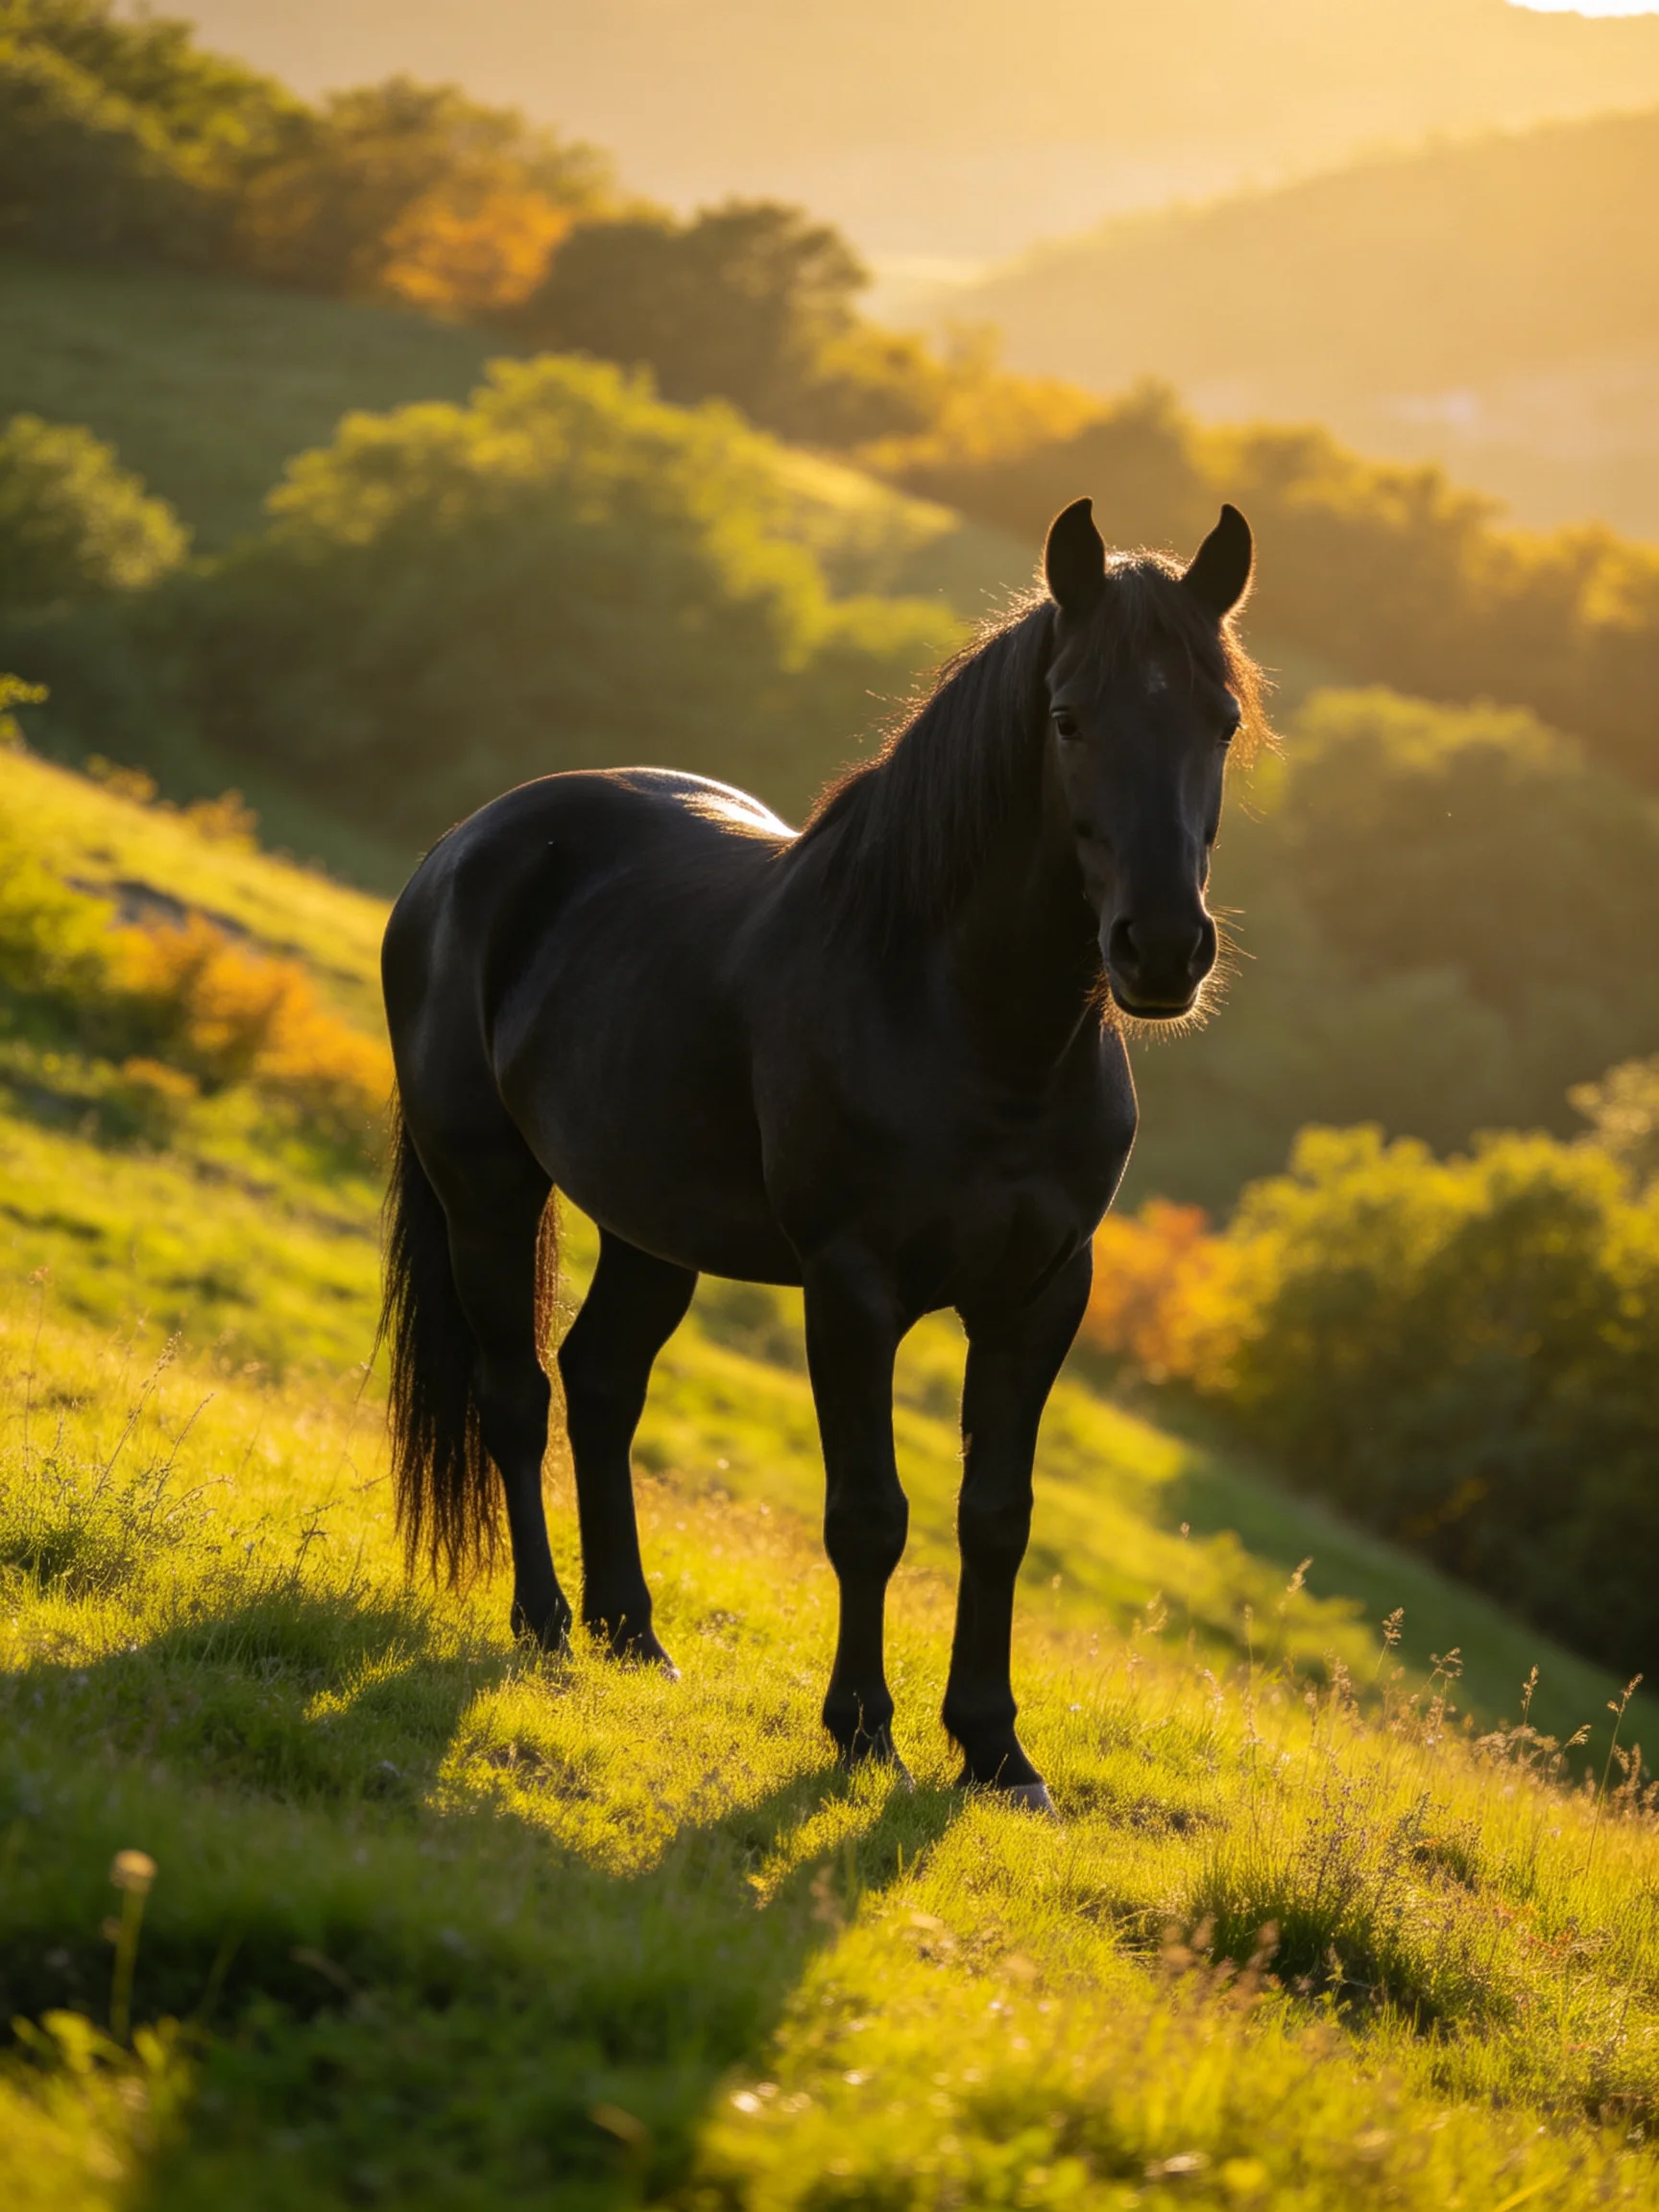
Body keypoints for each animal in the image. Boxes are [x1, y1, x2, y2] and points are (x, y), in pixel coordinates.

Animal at [380, 496, 1261, 1809]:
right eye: (1068, 717)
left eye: (1223, 721)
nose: (1159, 950)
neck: (970, 1028)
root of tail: (467, 846)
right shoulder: (853, 1289)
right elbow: (868, 1514)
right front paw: (863, 1729)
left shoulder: (1042, 1295)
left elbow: (996, 1515)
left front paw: (997, 1752)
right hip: (485, 1192)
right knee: (517, 1395)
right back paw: (543, 1622)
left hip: (652, 1228)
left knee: (602, 1383)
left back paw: (633, 1632)